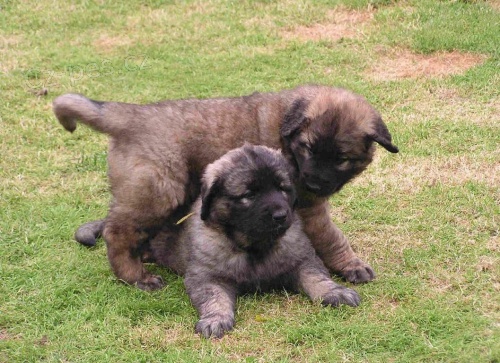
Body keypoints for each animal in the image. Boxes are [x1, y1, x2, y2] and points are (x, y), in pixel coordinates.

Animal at [53, 84, 398, 292]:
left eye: (342, 159)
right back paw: (135, 276)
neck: (286, 130)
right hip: (159, 190)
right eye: (309, 148)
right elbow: (331, 237)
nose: (313, 182)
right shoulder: (308, 208)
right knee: (117, 231)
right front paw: (351, 265)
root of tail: (132, 115)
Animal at [146, 144, 362, 338]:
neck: (255, 247)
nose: (281, 216)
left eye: (282, 188)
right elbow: (214, 296)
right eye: (249, 195)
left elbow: (316, 277)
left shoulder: (302, 260)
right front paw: (216, 319)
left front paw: (335, 292)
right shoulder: (205, 276)